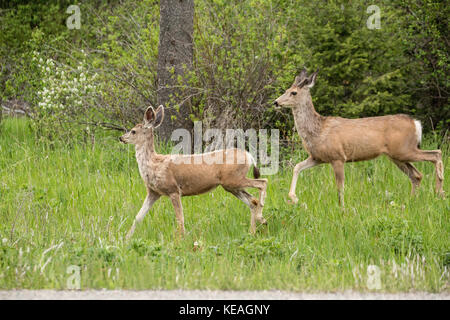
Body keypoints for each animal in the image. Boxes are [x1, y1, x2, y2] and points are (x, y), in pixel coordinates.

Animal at [118, 105, 268, 238]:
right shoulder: (153, 192)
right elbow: (138, 216)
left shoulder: (173, 189)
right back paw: (254, 229)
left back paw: (261, 217)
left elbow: (180, 218)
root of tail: (249, 156)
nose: (121, 138)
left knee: (262, 182)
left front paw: (181, 240)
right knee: (252, 201)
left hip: (234, 179)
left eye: (133, 131)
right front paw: (126, 239)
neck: (154, 164)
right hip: (231, 185)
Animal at [272, 68, 444, 206]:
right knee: (417, 175)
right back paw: (413, 200)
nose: (276, 102)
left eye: (293, 92)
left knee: (436, 154)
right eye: (286, 89)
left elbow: (340, 187)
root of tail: (416, 123)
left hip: (404, 149)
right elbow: (296, 167)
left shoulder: (338, 157)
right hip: (397, 155)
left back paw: (439, 192)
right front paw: (293, 197)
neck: (318, 130)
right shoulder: (317, 157)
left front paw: (341, 208)